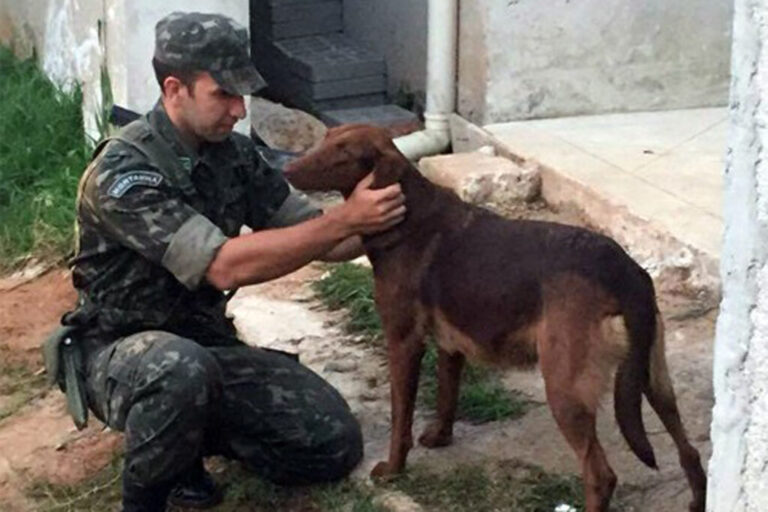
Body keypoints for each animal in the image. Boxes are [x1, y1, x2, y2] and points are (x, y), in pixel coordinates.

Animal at [284, 125, 708, 512]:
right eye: (325, 139)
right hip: (652, 377)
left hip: (566, 387)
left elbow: (400, 417)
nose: (286, 170)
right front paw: (439, 438)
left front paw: (393, 469)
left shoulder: (403, 341)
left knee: (600, 475)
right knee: (689, 452)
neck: (409, 213)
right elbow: (447, 396)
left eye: (341, 154)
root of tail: (624, 272)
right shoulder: (449, 345)